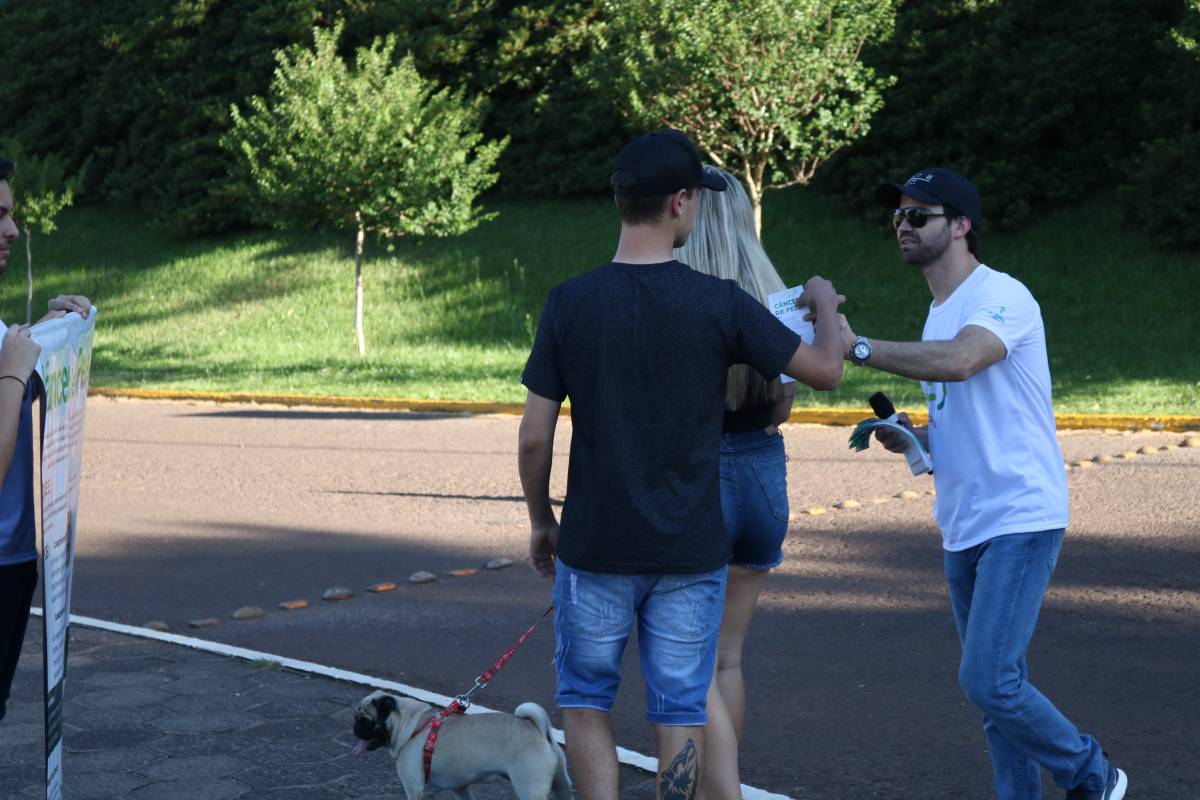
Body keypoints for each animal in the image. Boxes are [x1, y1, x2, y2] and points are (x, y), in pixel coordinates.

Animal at [352, 690, 573, 800]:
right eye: (357, 719)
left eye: (366, 722)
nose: (354, 728)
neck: (412, 724)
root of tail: (538, 729)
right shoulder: (460, 788)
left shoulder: (413, 787)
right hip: (560, 786)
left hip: (530, 789)